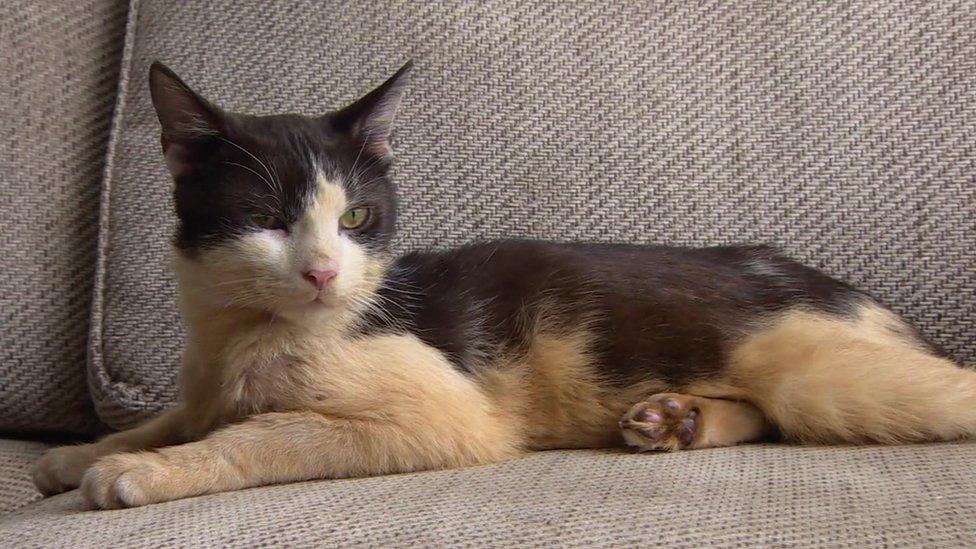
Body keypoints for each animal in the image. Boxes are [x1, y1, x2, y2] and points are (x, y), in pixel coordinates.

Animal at [34, 61, 976, 510]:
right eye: (266, 217)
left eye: (359, 218)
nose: (324, 271)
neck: (244, 332)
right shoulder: (200, 384)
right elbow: (176, 414)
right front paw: (82, 452)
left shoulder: (440, 413)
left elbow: (264, 432)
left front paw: (138, 470)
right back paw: (676, 417)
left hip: (820, 371)